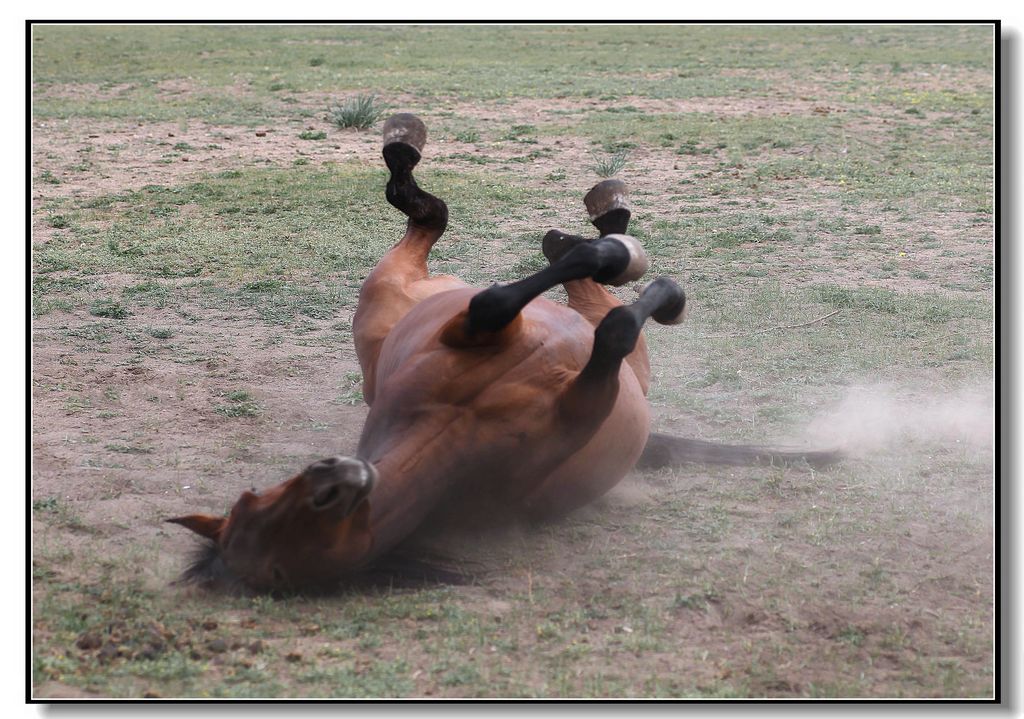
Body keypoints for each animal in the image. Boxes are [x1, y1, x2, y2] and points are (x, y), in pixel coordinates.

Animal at [169, 115, 839, 594]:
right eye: (280, 514)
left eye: (257, 496)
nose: (336, 473)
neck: (456, 429)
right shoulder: (587, 399)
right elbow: (615, 327)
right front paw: (660, 287)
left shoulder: (468, 330)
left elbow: (496, 300)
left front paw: (623, 258)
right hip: (611, 364)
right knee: (576, 286)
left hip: (395, 285)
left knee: (439, 216)